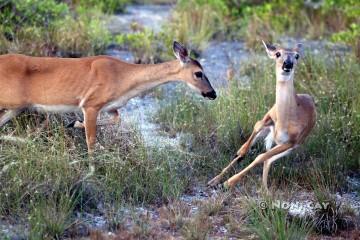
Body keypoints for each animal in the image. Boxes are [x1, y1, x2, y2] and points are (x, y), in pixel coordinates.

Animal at [0, 41, 217, 152]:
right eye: (199, 73)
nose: (212, 94)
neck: (123, 77)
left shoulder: (110, 107)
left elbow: (116, 120)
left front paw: (74, 123)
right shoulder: (90, 104)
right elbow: (91, 141)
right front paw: (92, 170)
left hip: (16, 108)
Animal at [208, 40, 316, 191]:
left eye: (297, 56)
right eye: (278, 53)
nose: (287, 64)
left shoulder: (291, 142)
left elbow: (261, 157)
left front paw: (229, 182)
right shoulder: (268, 119)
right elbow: (252, 138)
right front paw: (223, 180)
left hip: (288, 147)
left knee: (267, 159)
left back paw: (265, 190)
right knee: (259, 144)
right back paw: (215, 180)